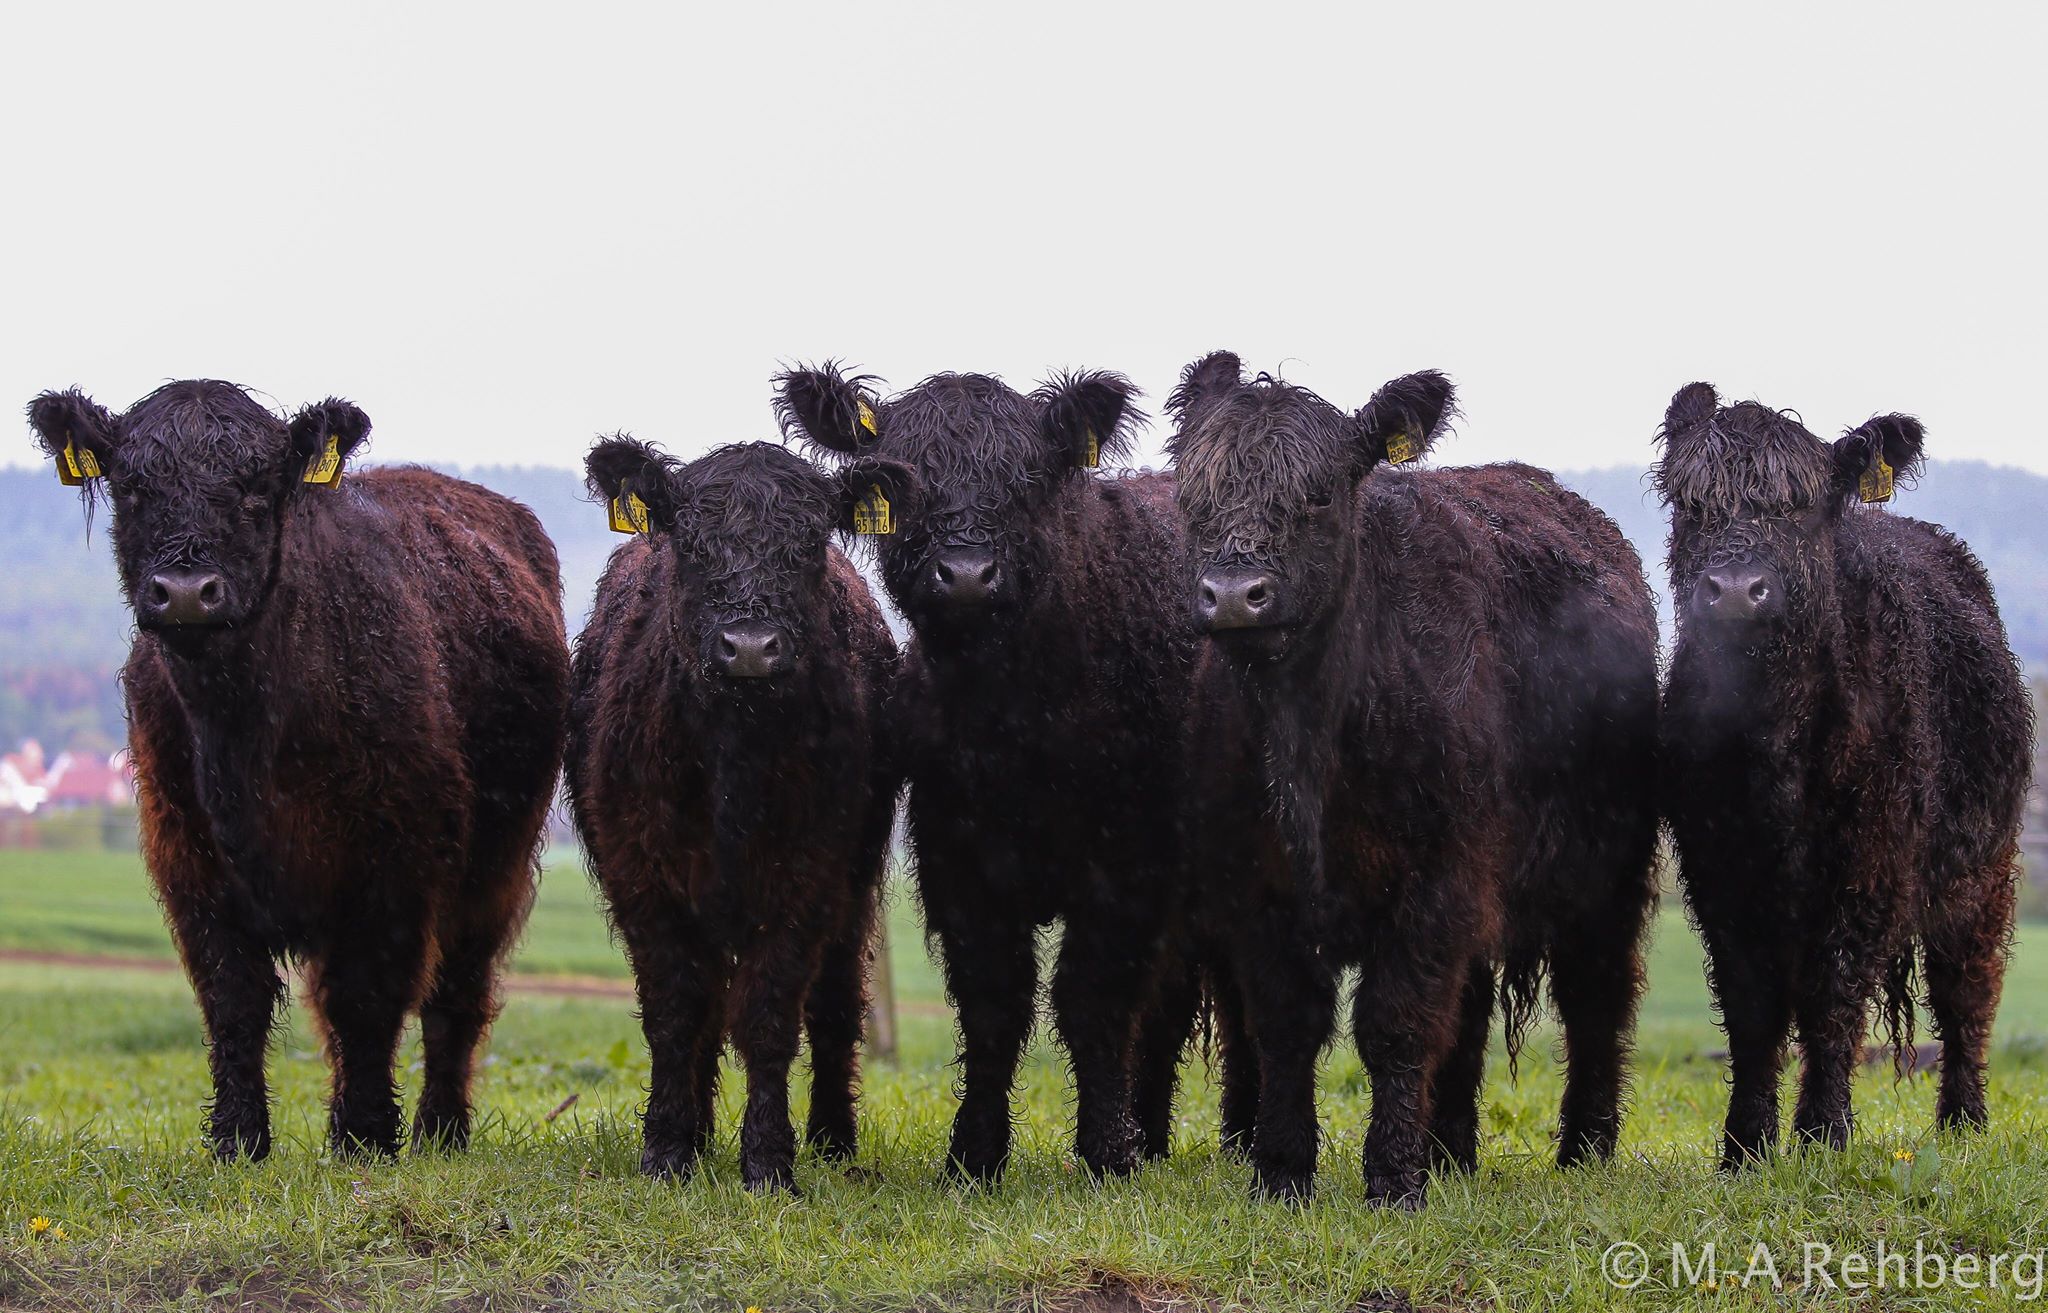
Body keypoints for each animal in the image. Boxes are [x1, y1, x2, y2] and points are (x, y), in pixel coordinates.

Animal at [29, 380, 577, 1155]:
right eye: (132, 487)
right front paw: (237, 1140)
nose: (187, 591)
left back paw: (440, 1130)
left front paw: (365, 1137)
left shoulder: (394, 859)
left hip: (498, 861)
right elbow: (234, 996)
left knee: (457, 994)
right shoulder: (187, 857)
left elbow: (367, 995)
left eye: (257, 487)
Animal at [770, 358, 1220, 1179]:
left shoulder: (1132, 865)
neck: (1016, 715)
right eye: (906, 481)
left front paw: (1106, 1151)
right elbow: (993, 1003)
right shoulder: (958, 856)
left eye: (1028, 479)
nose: (967, 574)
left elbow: (1094, 999)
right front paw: (974, 1153)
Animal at [1171, 352, 1662, 1204]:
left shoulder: (1438, 877)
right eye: (1194, 494)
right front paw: (1282, 1171)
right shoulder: (1256, 890)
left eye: (1320, 493)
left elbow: (1395, 1022)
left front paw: (1394, 1178)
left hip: (1606, 879)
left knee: (1596, 998)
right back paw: (1454, 1150)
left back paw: (1584, 1151)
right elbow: (1287, 1022)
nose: (1234, 594)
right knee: (1468, 1011)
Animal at [1662, 385, 2031, 1163]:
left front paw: (1823, 1133)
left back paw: (1964, 1120)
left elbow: (1833, 989)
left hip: (1982, 865)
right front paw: (1746, 1145)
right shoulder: (1718, 868)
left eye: (1802, 508)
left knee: (1968, 989)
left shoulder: (1870, 861)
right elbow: (1751, 1004)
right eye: (1694, 503)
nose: (1735, 590)